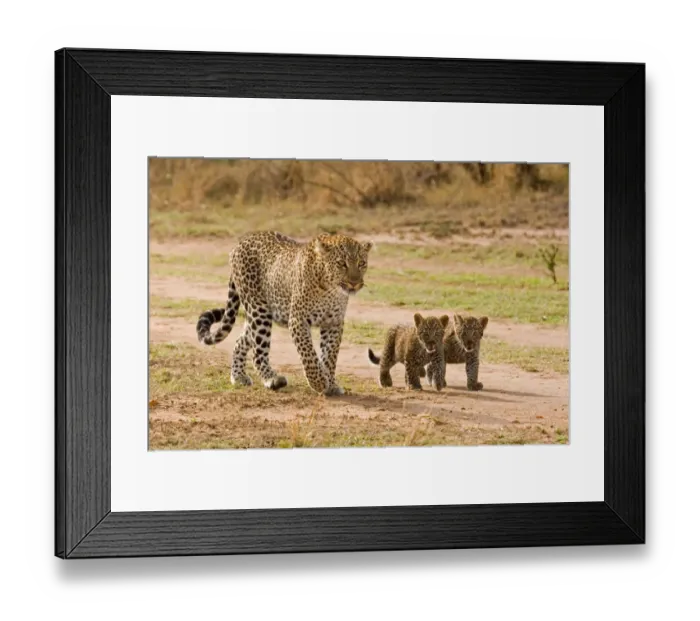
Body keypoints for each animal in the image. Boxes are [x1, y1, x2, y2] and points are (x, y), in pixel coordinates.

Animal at [196, 231, 373, 396]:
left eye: (362, 263)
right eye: (342, 264)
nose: (354, 283)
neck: (330, 290)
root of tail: (239, 244)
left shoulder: (334, 323)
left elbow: (330, 356)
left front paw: (331, 383)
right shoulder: (298, 320)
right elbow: (309, 355)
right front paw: (319, 382)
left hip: (258, 315)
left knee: (241, 341)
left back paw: (238, 376)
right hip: (258, 310)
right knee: (258, 354)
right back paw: (272, 379)